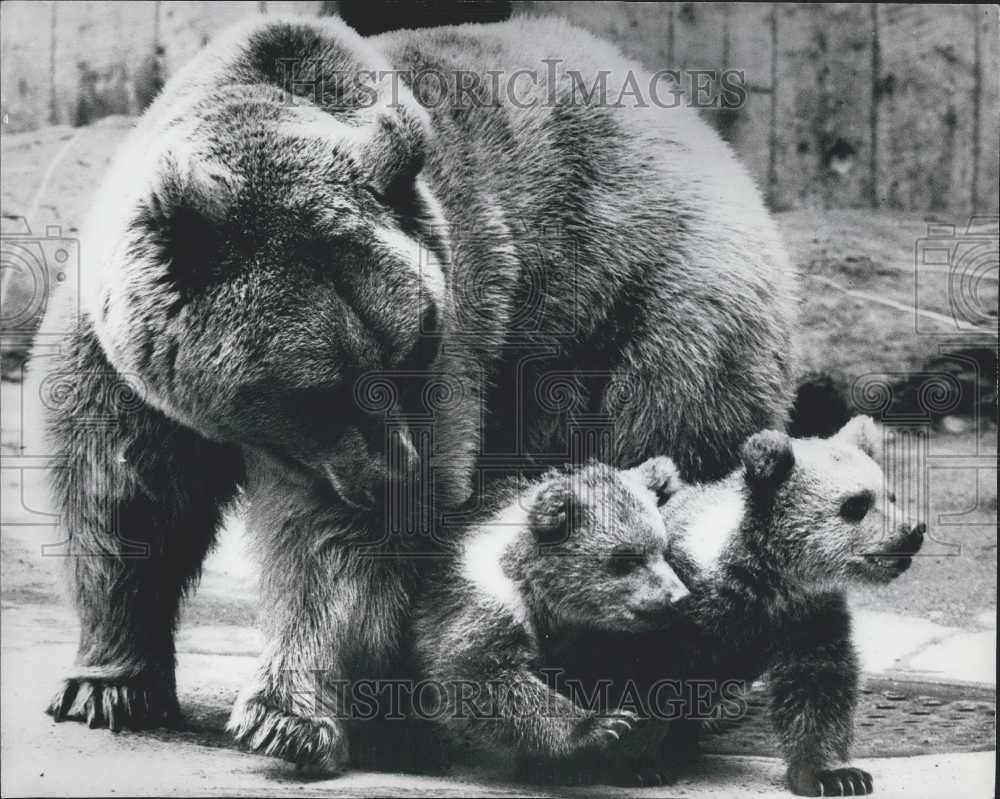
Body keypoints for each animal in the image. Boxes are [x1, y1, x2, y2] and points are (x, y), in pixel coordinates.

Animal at [31, 14, 792, 776]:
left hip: (650, 321)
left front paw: (289, 717)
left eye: (408, 351)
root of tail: (708, 135)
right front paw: (109, 686)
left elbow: (330, 550)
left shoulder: (456, 327)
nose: (395, 475)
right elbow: (125, 498)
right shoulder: (120, 362)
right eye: (318, 388)